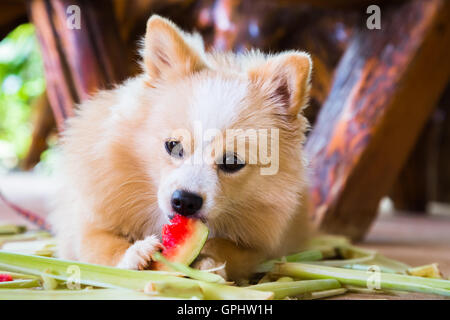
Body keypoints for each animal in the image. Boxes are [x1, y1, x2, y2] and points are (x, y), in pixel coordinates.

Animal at [51, 15, 312, 280]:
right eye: (173, 146)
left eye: (232, 162)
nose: (185, 201)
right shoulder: (84, 225)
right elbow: (101, 245)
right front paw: (133, 254)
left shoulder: (258, 248)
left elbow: (230, 249)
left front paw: (210, 260)